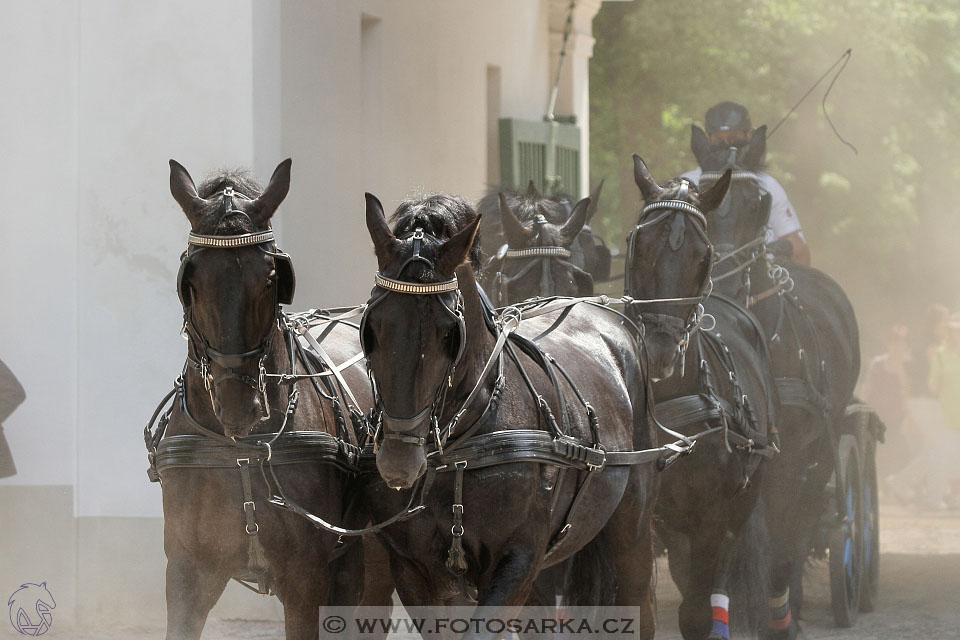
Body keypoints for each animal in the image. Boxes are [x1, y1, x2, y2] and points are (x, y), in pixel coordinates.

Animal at [148, 159, 376, 636]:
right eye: (192, 281)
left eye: (271, 279)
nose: (239, 406)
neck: (239, 451)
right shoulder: (187, 572)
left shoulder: (305, 577)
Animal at [358, 194, 660, 636]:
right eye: (372, 328)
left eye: (448, 333)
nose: (399, 462)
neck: (460, 447)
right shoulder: (415, 571)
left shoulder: (518, 560)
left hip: (631, 526)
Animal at [632, 156, 780, 640]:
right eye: (639, 244)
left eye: (704, 255)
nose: (659, 348)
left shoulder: (710, 520)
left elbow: (697, 611)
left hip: (737, 508)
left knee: (716, 585)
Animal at [688, 127, 864, 636]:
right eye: (694, 191)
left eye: (762, 199)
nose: (721, 280)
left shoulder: (786, 460)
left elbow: (783, 534)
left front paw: (777, 612)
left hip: (822, 450)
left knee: (804, 523)